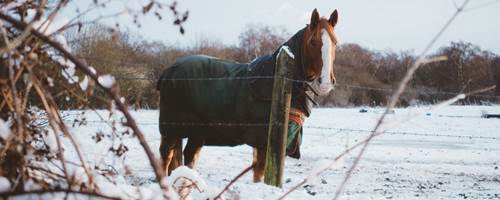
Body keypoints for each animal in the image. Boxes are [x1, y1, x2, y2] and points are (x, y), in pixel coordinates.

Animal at [158, 8, 338, 182]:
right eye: (313, 42)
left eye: (335, 42)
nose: (325, 83)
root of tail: (168, 71)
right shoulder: (263, 143)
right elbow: (260, 175)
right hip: (171, 130)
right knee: (165, 157)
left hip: (195, 133)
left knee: (188, 156)